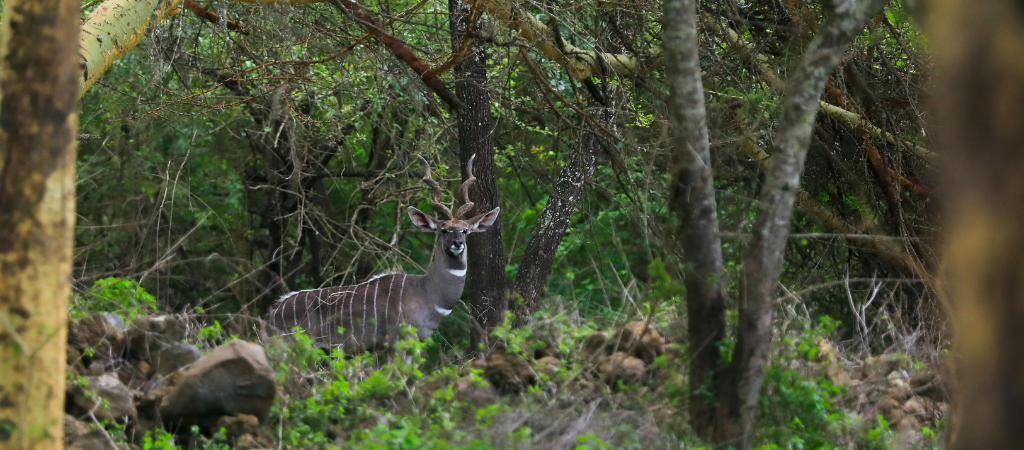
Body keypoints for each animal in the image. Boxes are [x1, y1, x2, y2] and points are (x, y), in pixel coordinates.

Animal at [269, 155, 499, 353]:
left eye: (465, 230)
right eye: (443, 230)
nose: (457, 244)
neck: (427, 294)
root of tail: (270, 315)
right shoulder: (399, 339)